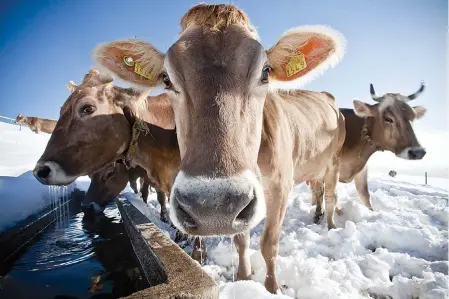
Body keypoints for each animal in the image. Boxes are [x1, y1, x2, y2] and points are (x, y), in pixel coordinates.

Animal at [90, 4, 344, 296]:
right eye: (166, 79)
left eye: (265, 72)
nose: (211, 207)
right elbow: (241, 240)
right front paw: (244, 278)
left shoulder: (281, 185)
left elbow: (269, 244)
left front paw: (271, 288)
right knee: (318, 189)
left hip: (334, 161)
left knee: (331, 195)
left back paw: (331, 225)